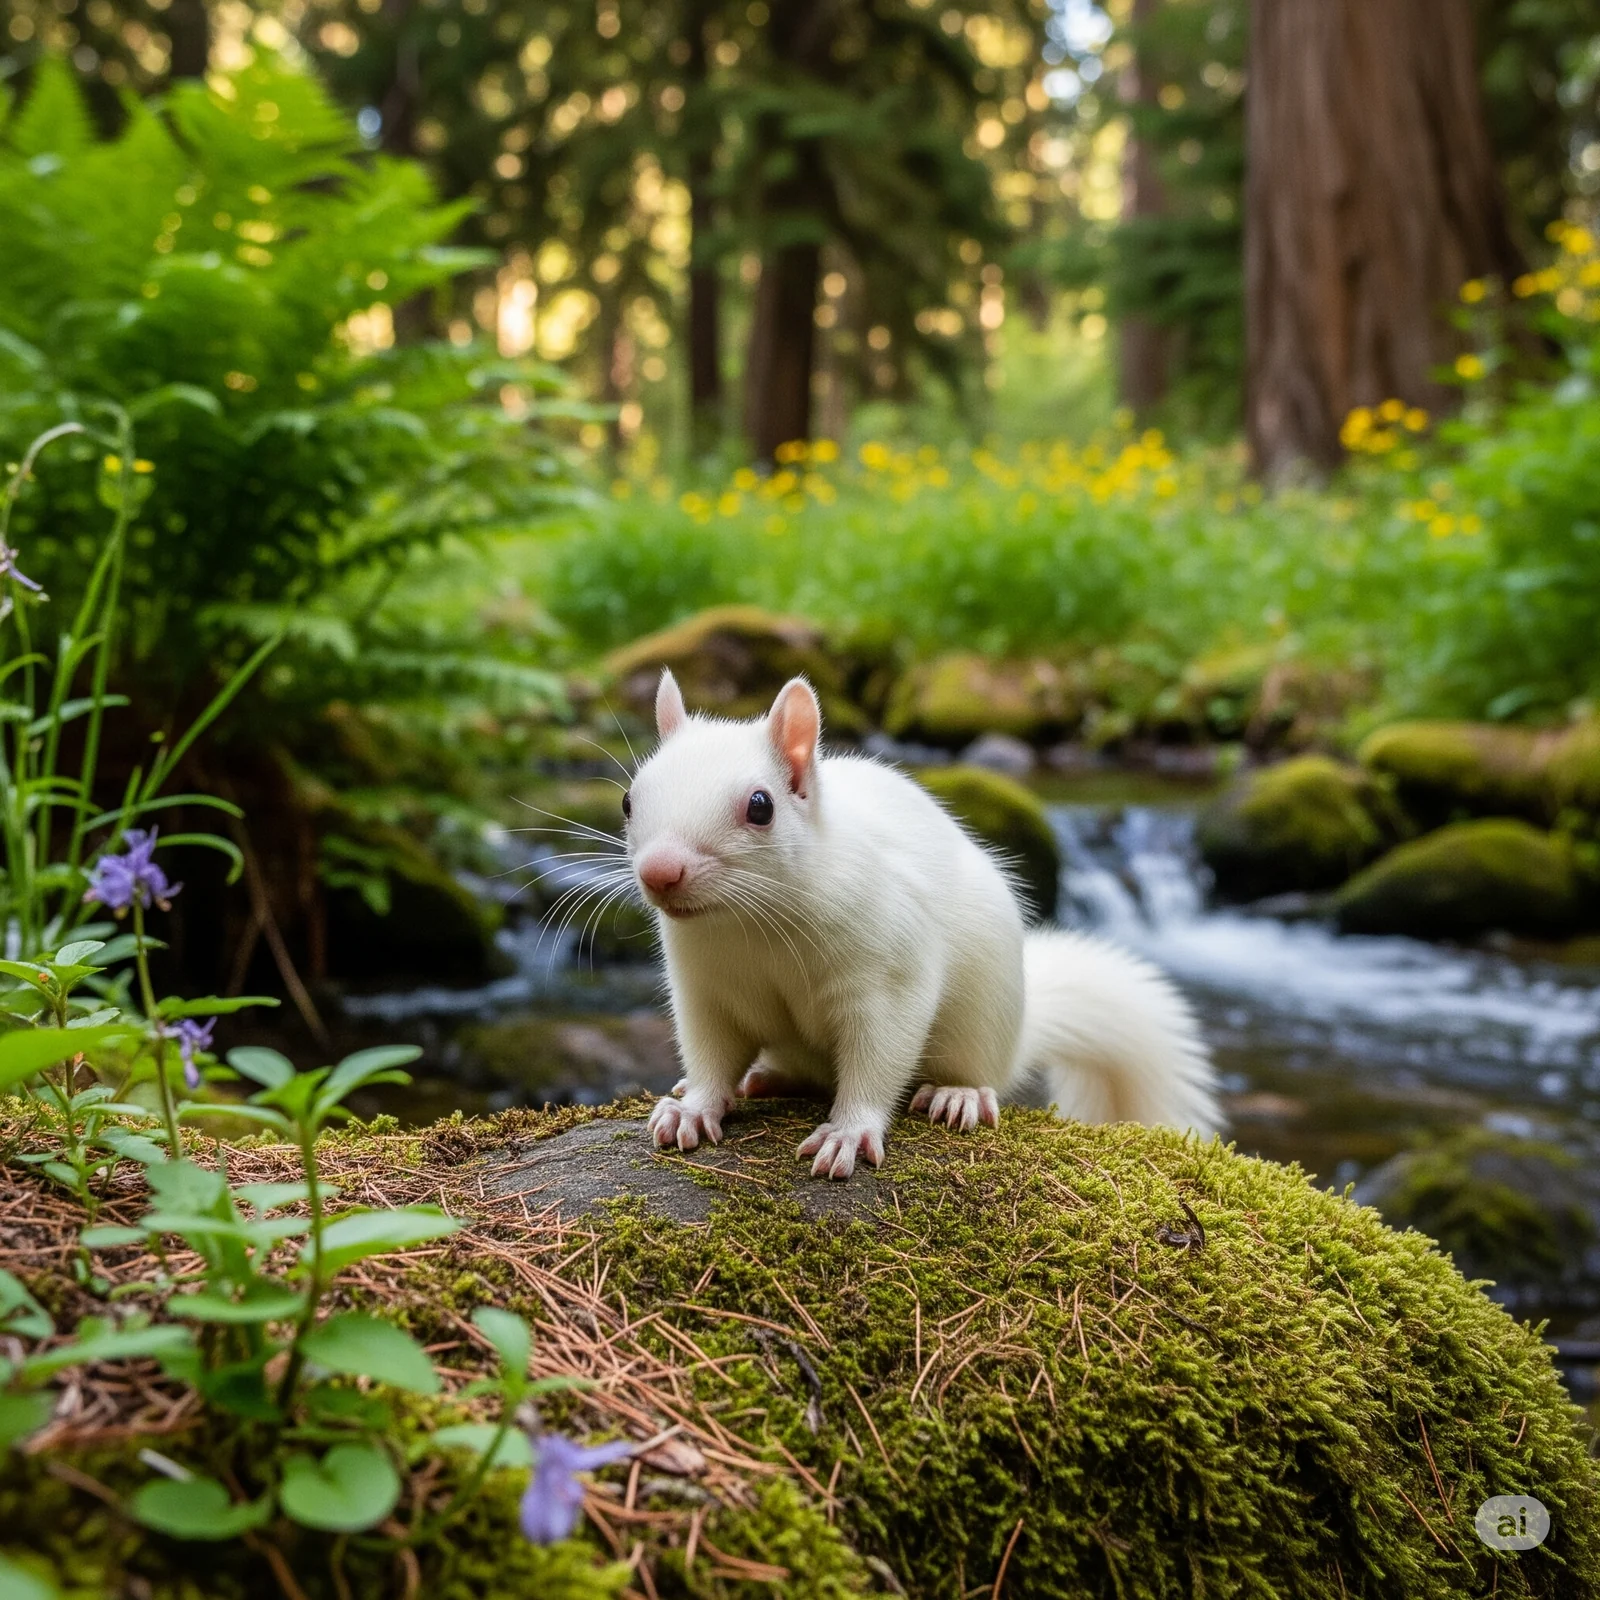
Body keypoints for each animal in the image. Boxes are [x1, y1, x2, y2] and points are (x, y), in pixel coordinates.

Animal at [624, 670, 1220, 1179]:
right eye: (629, 799)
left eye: (760, 806)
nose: (659, 872)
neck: (750, 922)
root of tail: (1018, 1032)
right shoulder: (706, 991)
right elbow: (709, 1055)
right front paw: (693, 1108)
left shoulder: (887, 976)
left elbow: (878, 1057)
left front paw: (848, 1132)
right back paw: (766, 1077)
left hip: (981, 1020)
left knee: (978, 1073)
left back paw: (960, 1095)